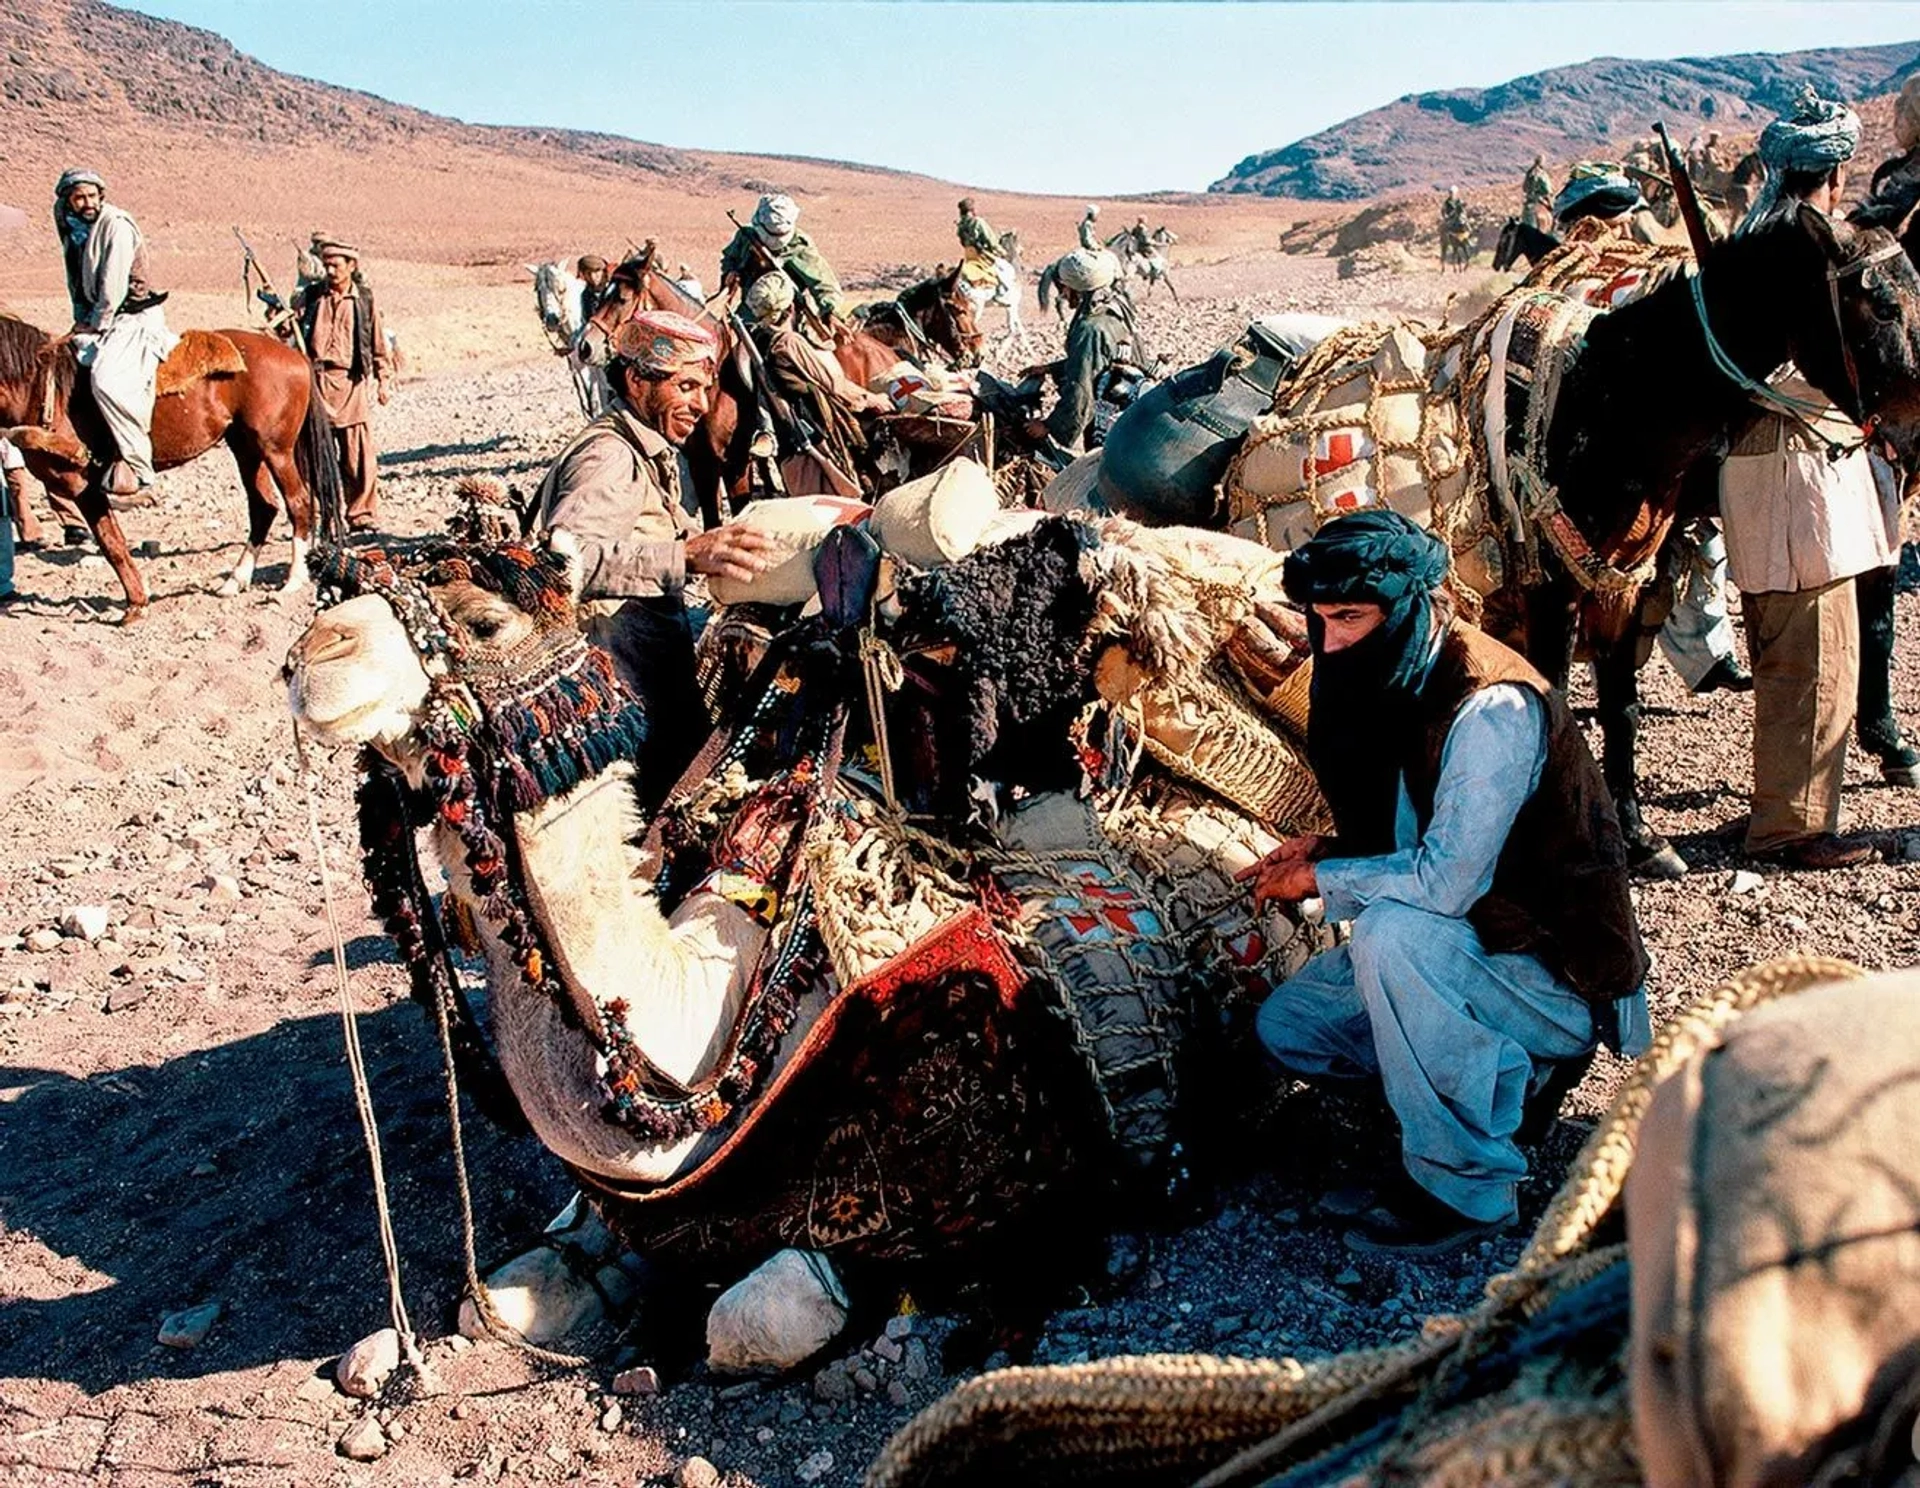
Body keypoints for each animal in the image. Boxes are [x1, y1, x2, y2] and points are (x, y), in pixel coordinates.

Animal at [0, 311, 341, 618]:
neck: (41, 390)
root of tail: (297, 357)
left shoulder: (84, 485)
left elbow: (112, 543)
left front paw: (135, 606)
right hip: (246, 447)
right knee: (263, 507)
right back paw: (235, 580)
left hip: (276, 450)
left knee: (297, 504)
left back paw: (294, 580)